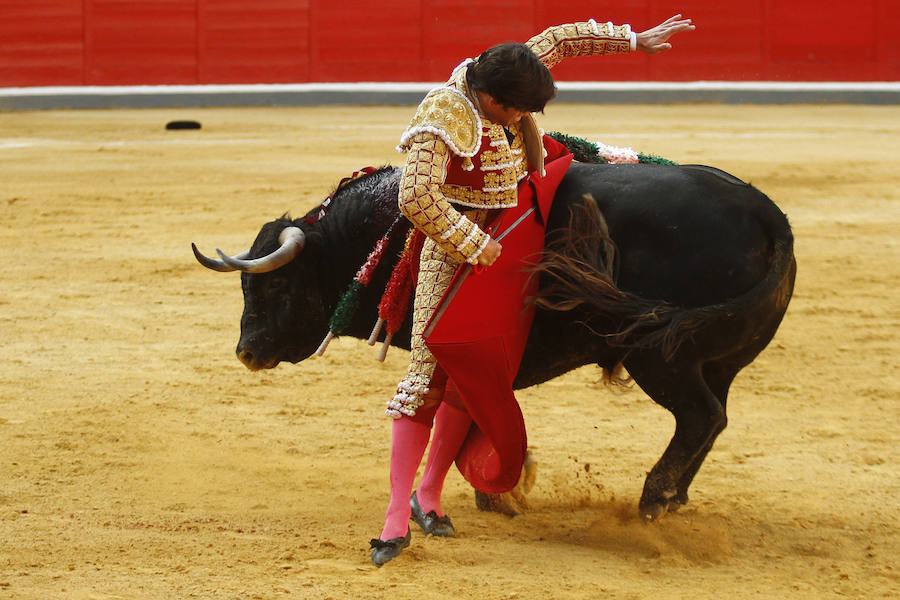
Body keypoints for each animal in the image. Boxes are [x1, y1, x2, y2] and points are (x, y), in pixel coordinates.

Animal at [192, 159, 796, 520]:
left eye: (276, 283)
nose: (247, 352)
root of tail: (768, 216)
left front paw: (492, 493)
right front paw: (503, 487)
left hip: (660, 356)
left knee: (699, 416)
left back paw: (652, 501)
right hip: (715, 361)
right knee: (714, 418)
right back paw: (674, 499)